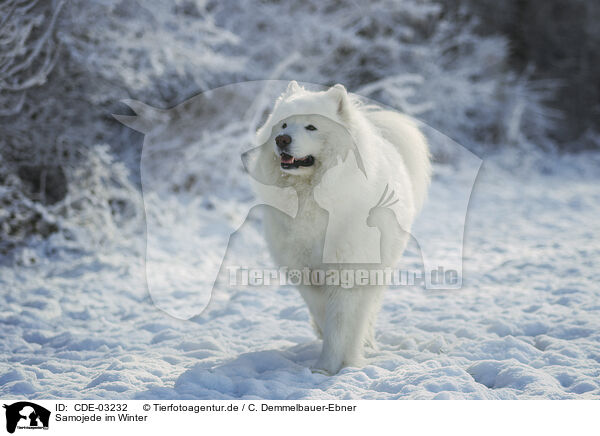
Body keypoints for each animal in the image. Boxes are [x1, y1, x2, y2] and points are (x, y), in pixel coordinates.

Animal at [245, 80, 432, 372]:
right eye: (283, 125)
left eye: (311, 127)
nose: (281, 140)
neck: (312, 197)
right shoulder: (306, 273)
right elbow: (324, 315)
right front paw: (327, 358)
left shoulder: (349, 273)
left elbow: (341, 323)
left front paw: (332, 366)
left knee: (369, 311)